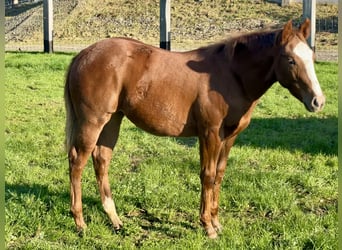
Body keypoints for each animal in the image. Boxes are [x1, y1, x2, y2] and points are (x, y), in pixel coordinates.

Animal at [65, 19, 326, 238]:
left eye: (312, 58)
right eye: (290, 59)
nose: (318, 101)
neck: (231, 76)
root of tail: (82, 55)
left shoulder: (229, 137)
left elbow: (219, 174)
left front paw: (216, 222)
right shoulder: (209, 134)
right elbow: (207, 176)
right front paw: (207, 226)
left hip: (113, 120)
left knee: (101, 159)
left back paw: (115, 219)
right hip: (93, 121)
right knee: (77, 162)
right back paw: (79, 222)